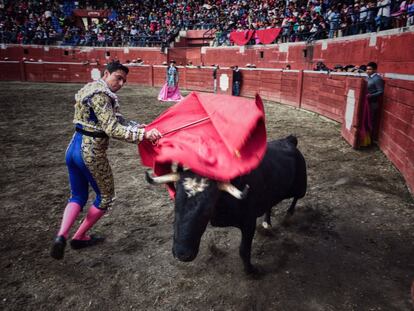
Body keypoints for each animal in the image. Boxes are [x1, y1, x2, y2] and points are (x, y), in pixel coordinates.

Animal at [146, 135, 308, 274]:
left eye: (208, 208)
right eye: (176, 202)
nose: (182, 254)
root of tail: (289, 140)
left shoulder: (249, 222)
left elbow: (244, 250)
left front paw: (251, 271)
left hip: (301, 187)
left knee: (296, 198)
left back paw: (288, 214)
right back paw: (267, 222)